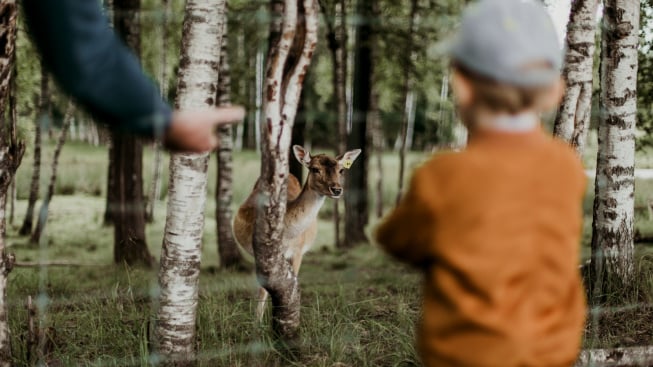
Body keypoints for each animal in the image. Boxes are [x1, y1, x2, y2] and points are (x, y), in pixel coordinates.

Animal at [230, 145, 362, 320]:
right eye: (315, 169)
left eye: (341, 170)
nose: (336, 189)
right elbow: (263, 290)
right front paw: (258, 321)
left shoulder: (298, 251)